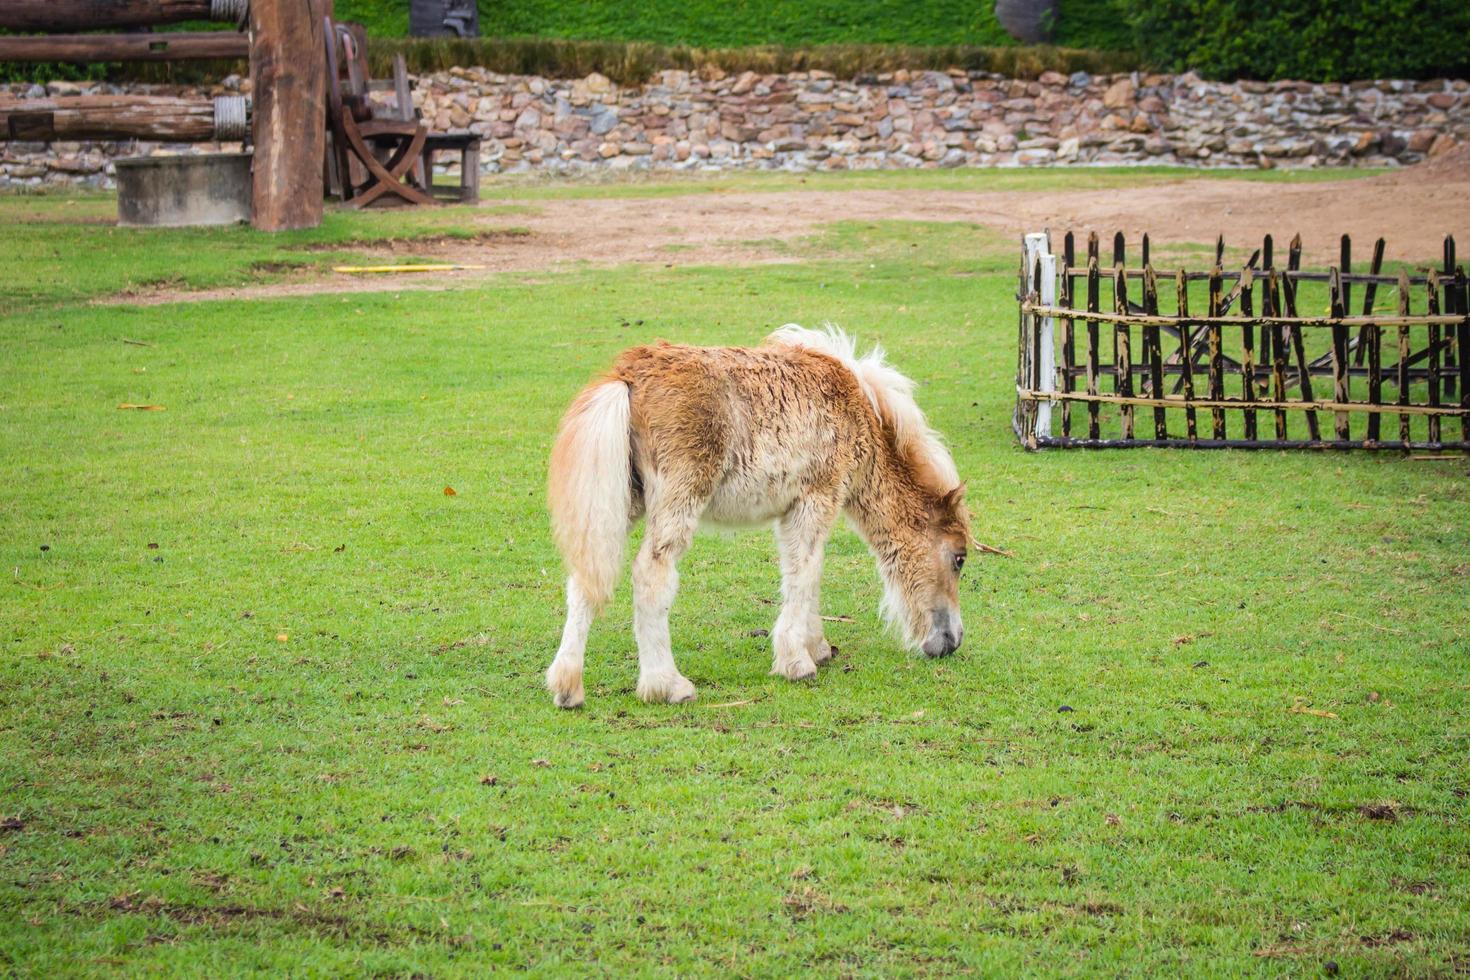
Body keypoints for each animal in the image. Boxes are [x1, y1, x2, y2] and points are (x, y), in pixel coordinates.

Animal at [546, 327, 970, 705]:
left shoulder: (794, 509)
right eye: (959, 558)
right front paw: (797, 662)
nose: (952, 641)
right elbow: (805, 573)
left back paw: (568, 687)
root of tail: (626, 376)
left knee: (584, 577)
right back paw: (667, 685)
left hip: (621, 501)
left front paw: (815, 647)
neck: (855, 409)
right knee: (651, 575)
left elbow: (805, 573)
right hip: (678, 499)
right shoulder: (816, 499)